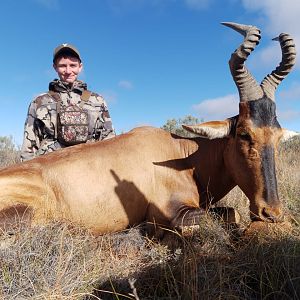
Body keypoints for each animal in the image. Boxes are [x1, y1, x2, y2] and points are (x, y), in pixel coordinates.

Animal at [0, 22, 296, 234]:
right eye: (244, 133)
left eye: (278, 137)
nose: (271, 213)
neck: (181, 155)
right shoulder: (171, 213)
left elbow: (231, 212)